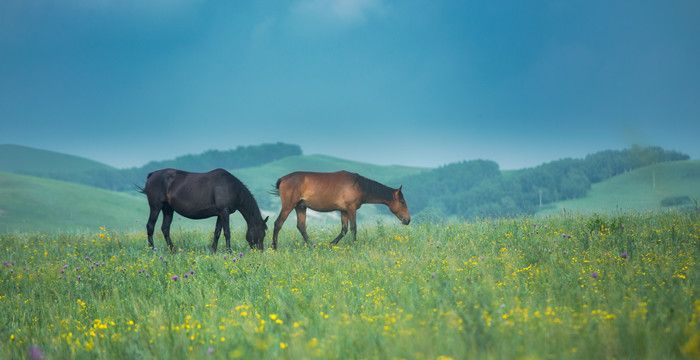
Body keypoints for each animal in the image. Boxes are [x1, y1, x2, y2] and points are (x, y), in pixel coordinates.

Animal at [139, 168, 268, 250]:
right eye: (261, 233)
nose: (260, 251)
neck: (231, 187)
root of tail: (152, 175)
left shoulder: (220, 214)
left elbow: (217, 232)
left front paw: (213, 251)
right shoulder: (224, 212)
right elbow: (227, 233)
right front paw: (229, 251)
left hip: (168, 209)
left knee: (165, 228)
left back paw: (173, 250)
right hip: (155, 207)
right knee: (150, 226)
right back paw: (152, 249)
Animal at [270, 170, 410, 249]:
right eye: (402, 202)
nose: (408, 220)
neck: (358, 185)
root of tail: (283, 179)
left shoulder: (344, 211)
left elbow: (344, 230)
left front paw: (331, 244)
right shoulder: (351, 209)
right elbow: (353, 228)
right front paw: (354, 245)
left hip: (300, 207)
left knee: (301, 226)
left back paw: (312, 246)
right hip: (288, 206)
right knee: (278, 224)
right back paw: (274, 247)